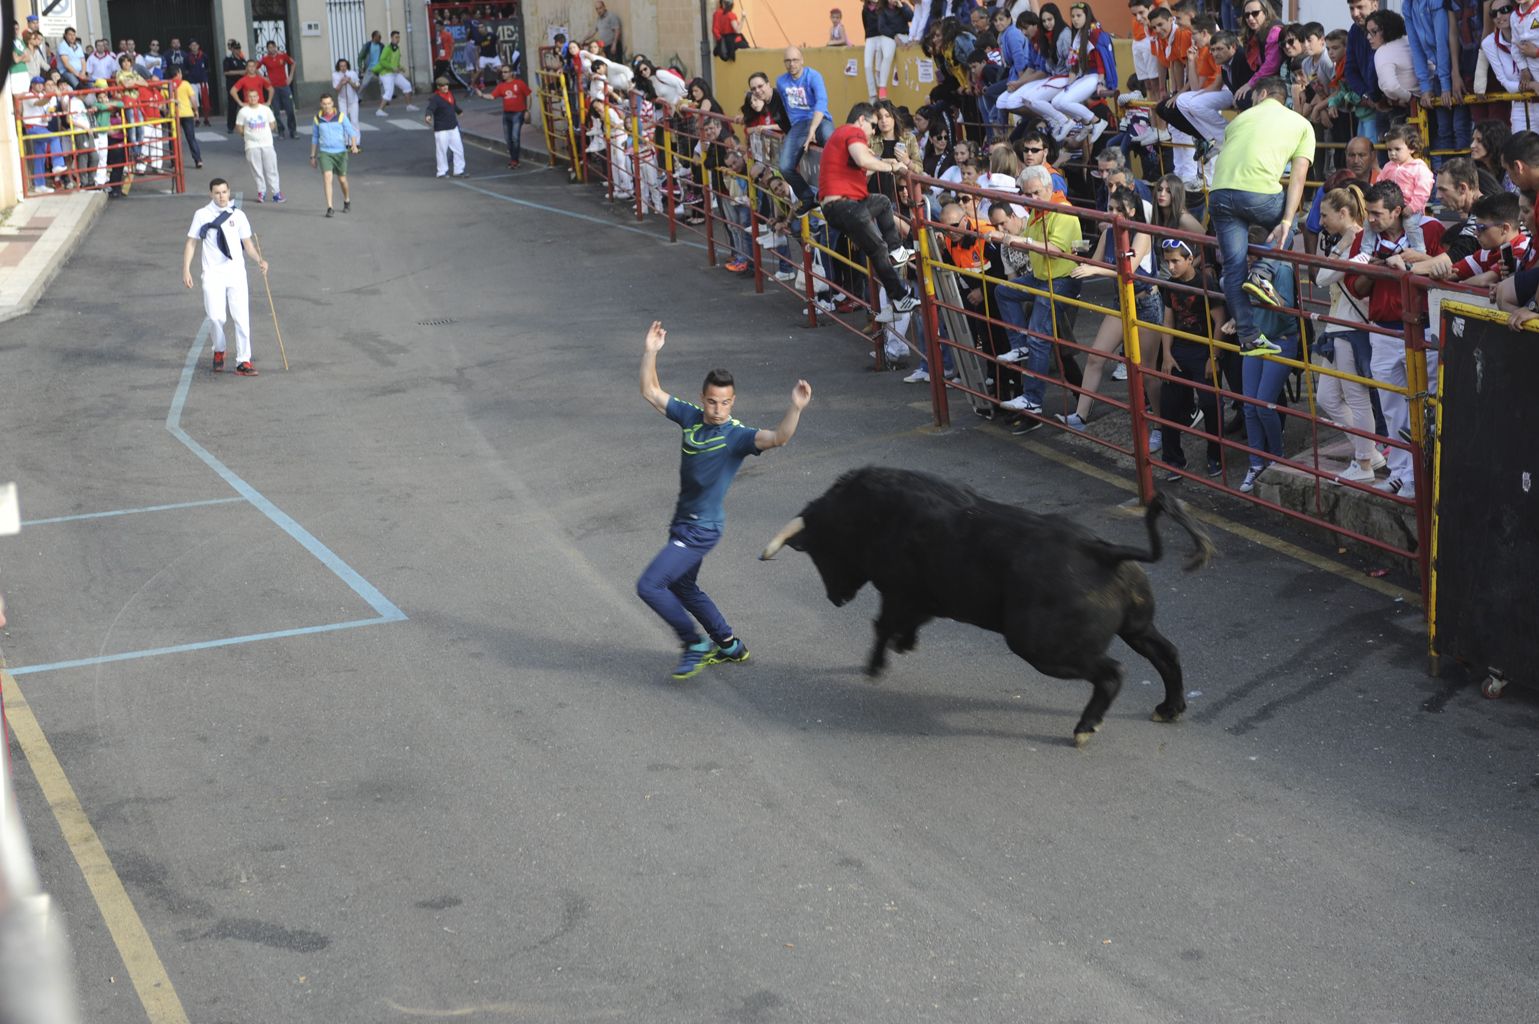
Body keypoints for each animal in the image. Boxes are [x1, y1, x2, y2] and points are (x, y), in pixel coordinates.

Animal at [757, 468, 1212, 748]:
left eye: (820, 548)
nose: (836, 598)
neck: (871, 512)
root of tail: (1103, 551)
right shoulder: (920, 600)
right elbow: (898, 626)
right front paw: (902, 647)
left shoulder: (900, 593)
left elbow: (882, 626)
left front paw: (875, 666)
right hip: (1137, 626)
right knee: (1166, 654)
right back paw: (1169, 708)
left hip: (1041, 647)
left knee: (1112, 673)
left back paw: (1084, 728)